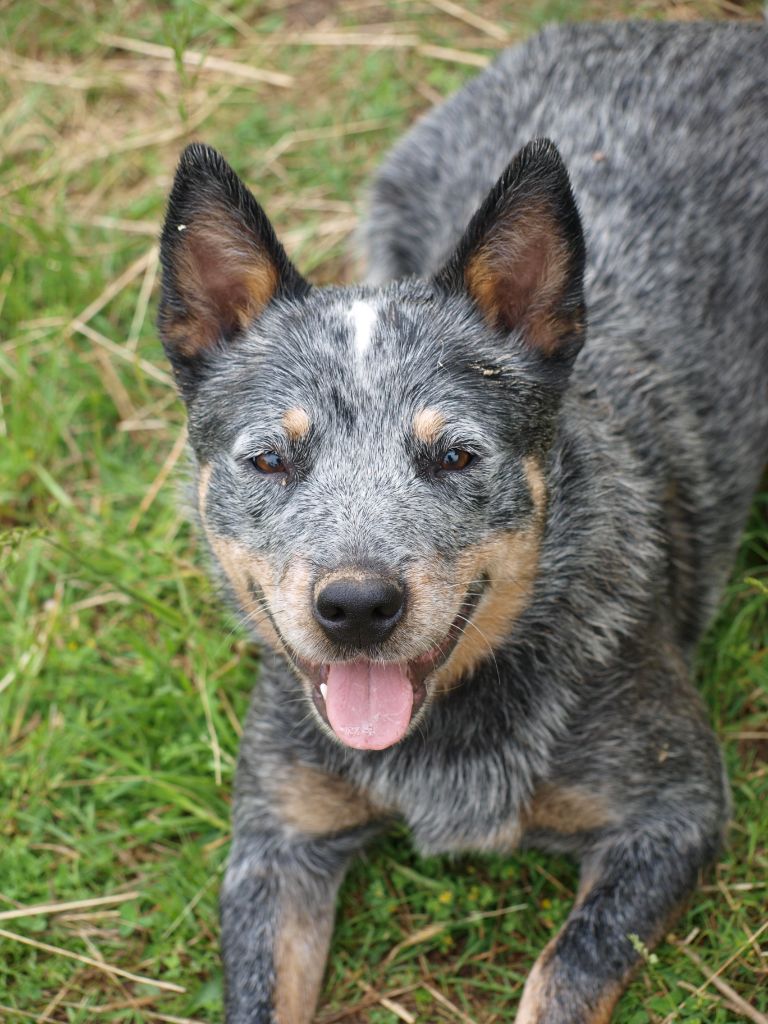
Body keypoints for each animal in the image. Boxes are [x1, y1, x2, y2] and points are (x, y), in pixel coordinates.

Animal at [157, 18, 768, 1024]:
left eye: (454, 456)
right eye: (271, 459)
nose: (357, 606)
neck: (441, 736)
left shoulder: (674, 808)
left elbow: (564, 972)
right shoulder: (277, 842)